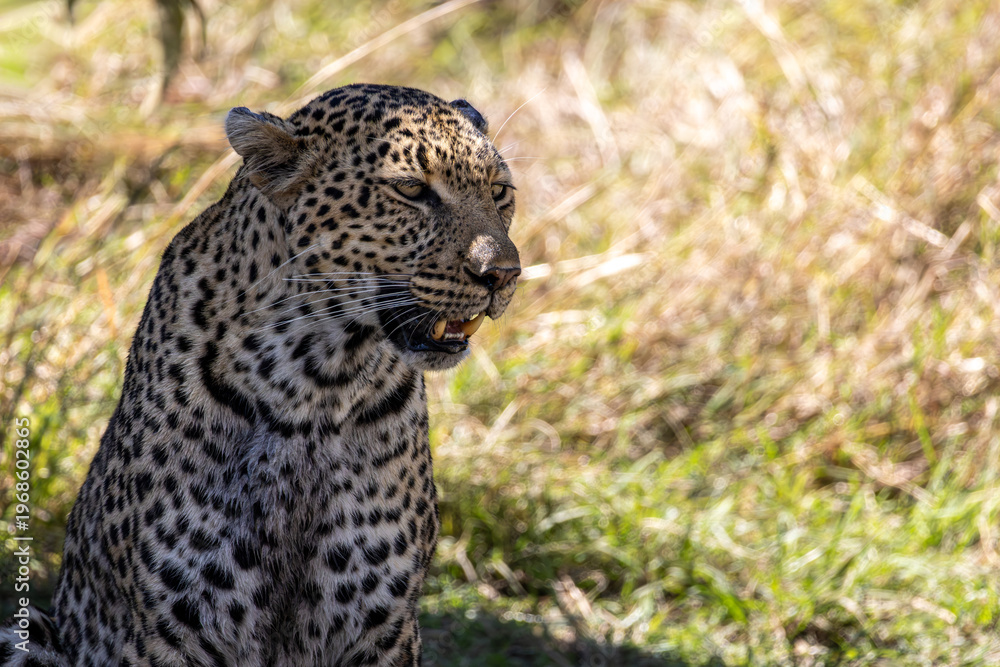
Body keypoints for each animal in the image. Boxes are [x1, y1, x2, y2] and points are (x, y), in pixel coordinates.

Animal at [1, 83, 520, 666]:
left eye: (500, 191)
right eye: (411, 190)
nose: (505, 273)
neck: (321, 382)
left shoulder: (383, 630)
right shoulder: (166, 633)